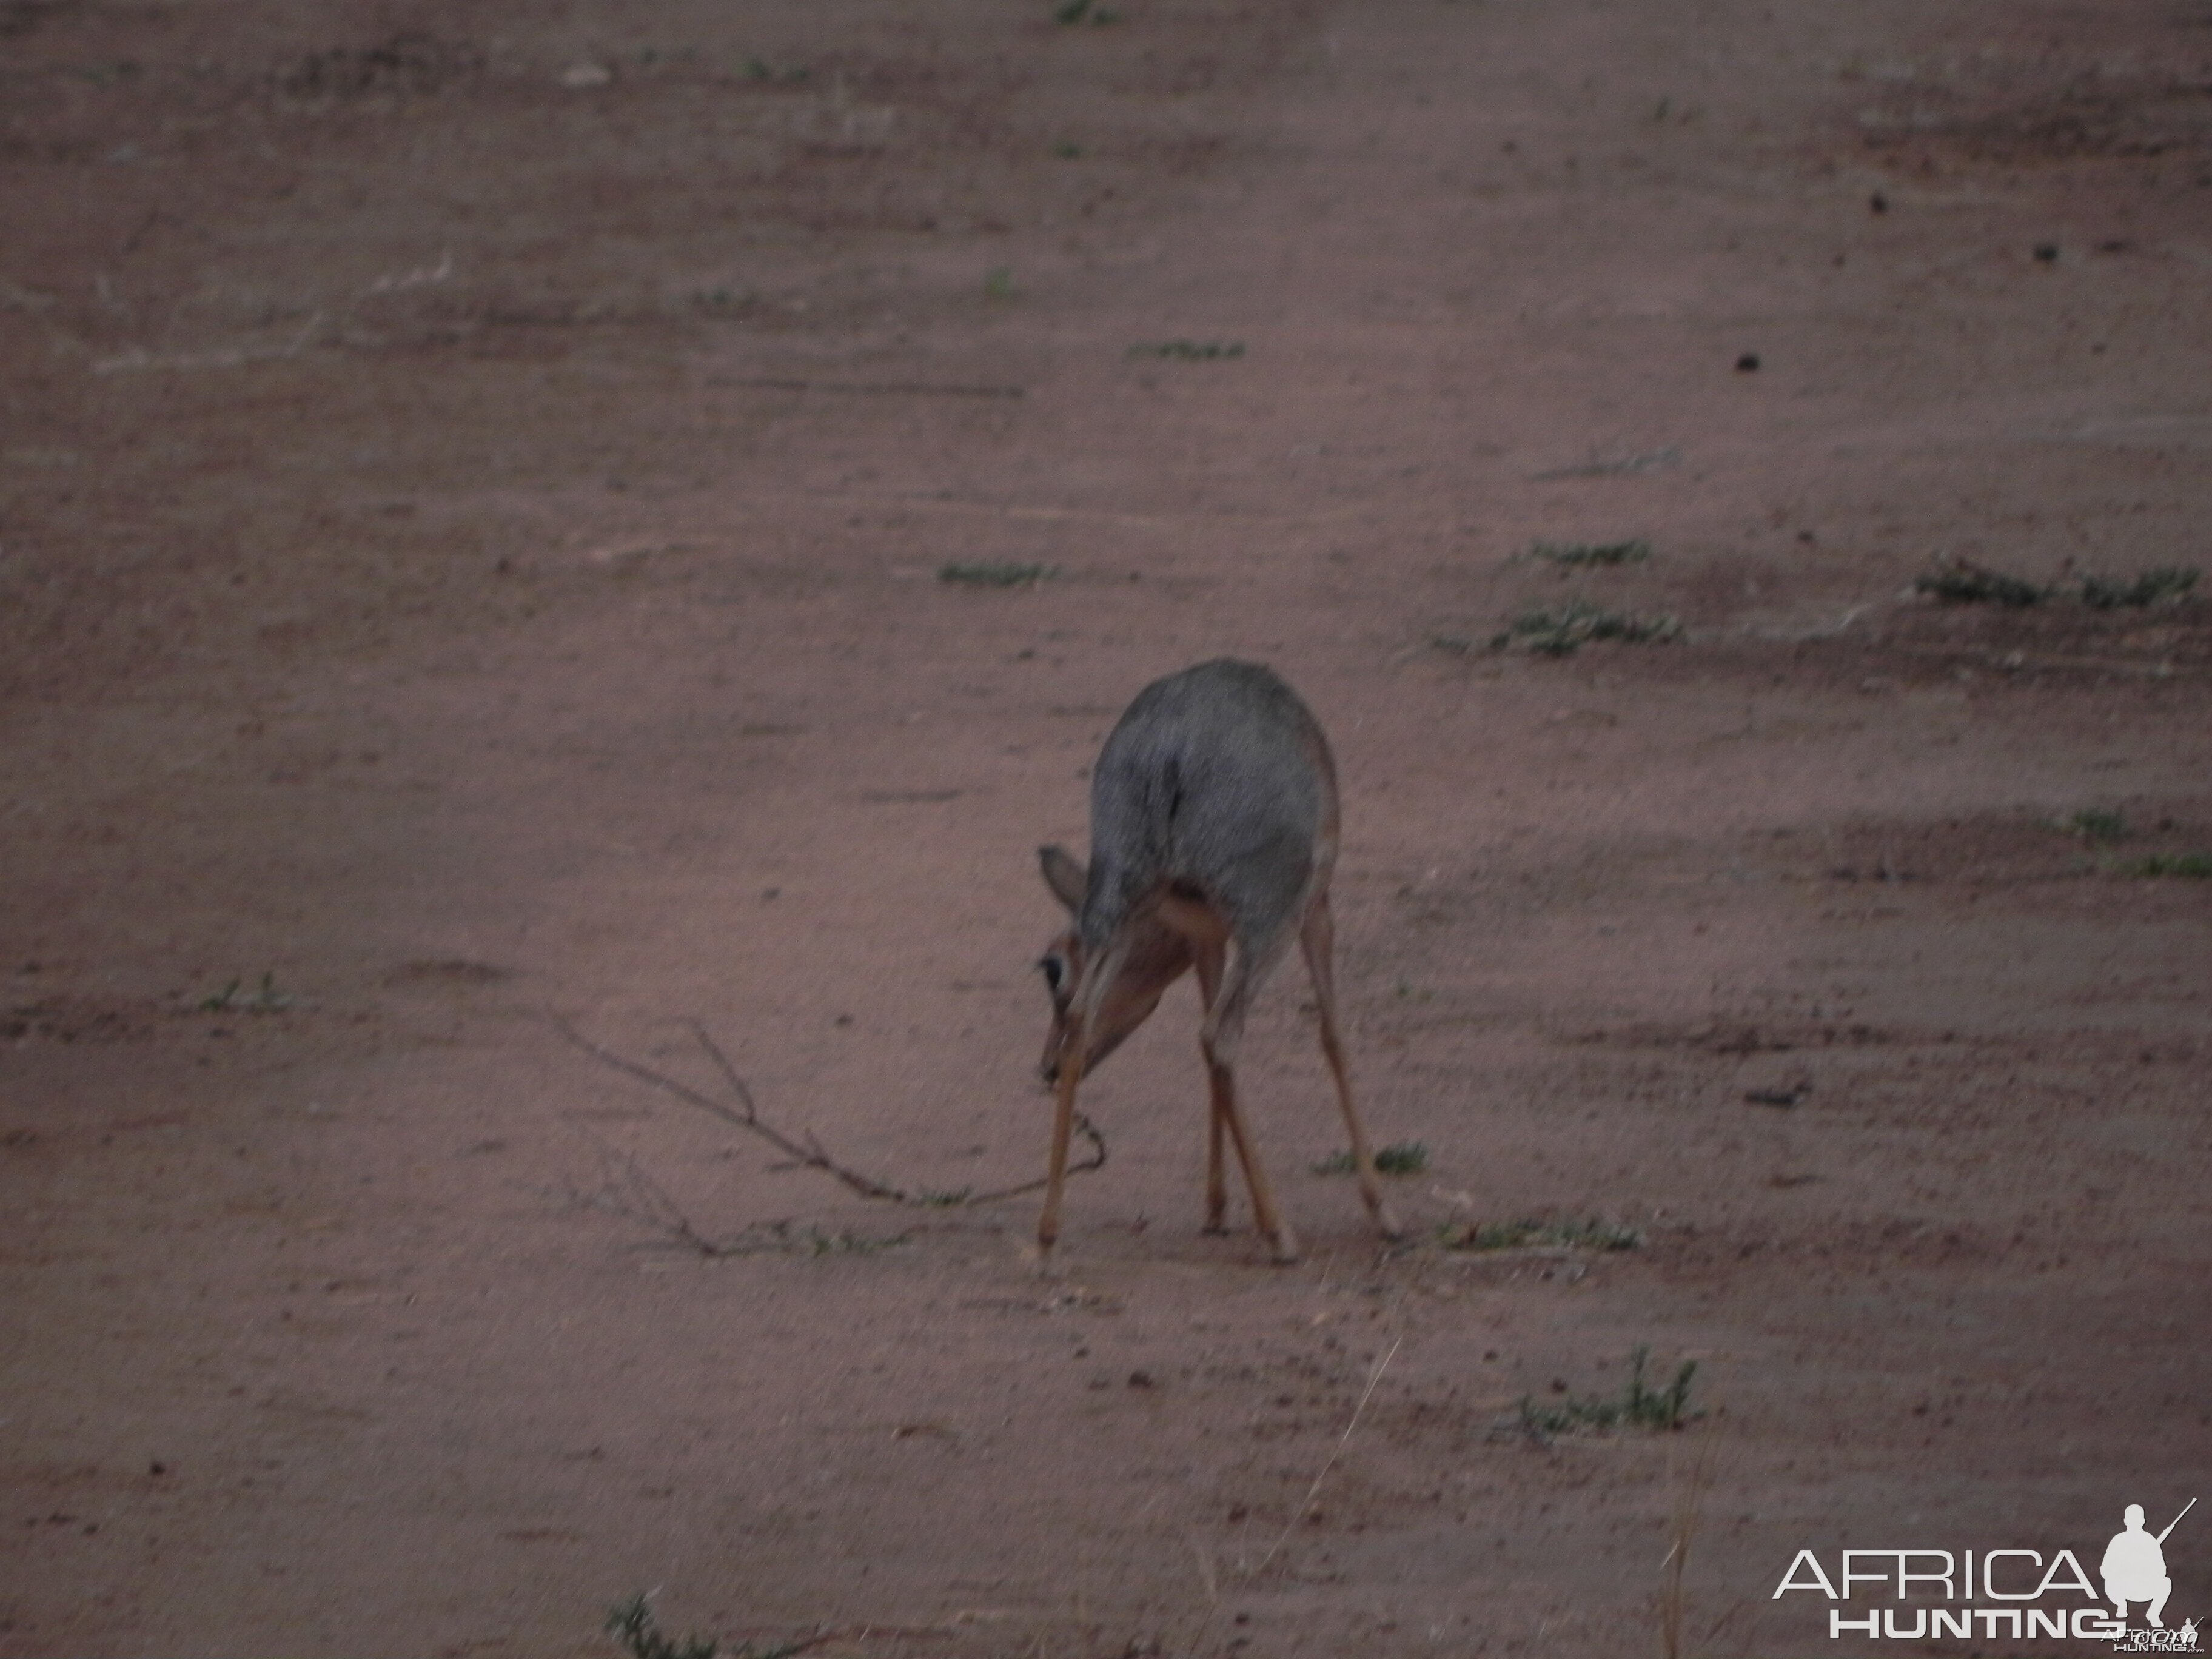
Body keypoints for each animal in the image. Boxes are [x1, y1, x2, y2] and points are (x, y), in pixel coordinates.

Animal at [1035, 654, 1398, 1265]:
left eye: (1052, 966)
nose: (1047, 1068)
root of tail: (1171, 750)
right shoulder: (1317, 909)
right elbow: (1332, 1035)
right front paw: (1380, 1207)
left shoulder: (1206, 936)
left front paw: (1217, 1206)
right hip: (1271, 921)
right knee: (1221, 1034)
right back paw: (1281, 1233)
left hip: (1122, 898)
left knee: (1099, 1019)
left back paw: (1046, 1237)